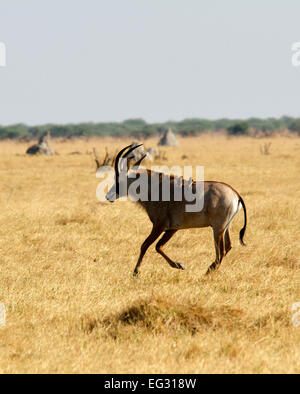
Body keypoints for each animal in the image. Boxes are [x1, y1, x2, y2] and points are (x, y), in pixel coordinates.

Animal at [104, 143, 247, 276]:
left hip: (217, 229)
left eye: (119, 180)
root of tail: (235, 194)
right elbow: (158, 246)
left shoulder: (159, 226)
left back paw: (207, 272)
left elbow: (146, 245)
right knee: (227, 247)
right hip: (225, 228)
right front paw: (179, 265)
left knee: (220, 251)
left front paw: (136, 272)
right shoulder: (173, 228)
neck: (155, 188)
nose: (108, 196)